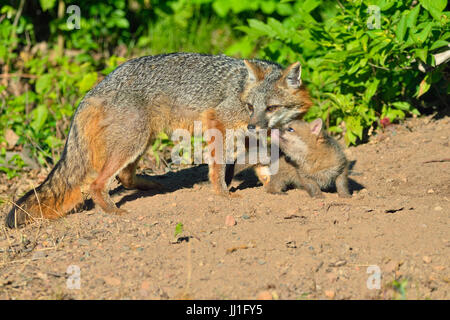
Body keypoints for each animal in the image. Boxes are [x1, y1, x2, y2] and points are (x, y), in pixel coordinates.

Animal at [7, 53, 312, 228]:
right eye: (249, 106)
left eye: (271, 108)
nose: (252, 124)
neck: (240, 91)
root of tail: (95, 87)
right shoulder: (217, 120)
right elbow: (217, 169)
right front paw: (223, 193)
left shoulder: (251, 135)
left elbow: (262, 162)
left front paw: (270, 183)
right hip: (133, 140)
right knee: (97, 184)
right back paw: (112, 211)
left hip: (140, 140)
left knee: (124, 177)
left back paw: (150, 185)